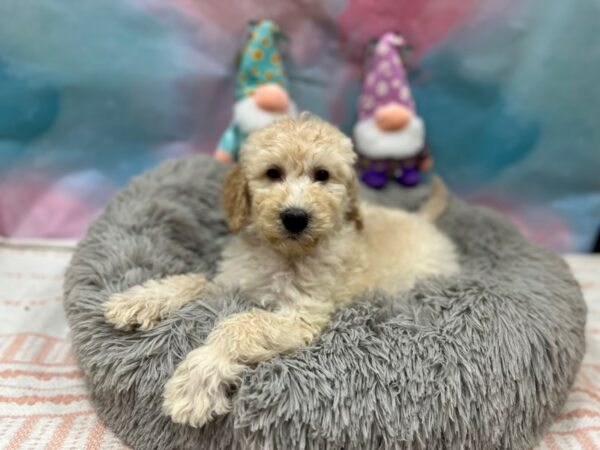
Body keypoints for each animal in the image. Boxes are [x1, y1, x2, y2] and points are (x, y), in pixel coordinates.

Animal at [104, 113, 460, 428]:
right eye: (272, 173)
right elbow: (195, 280)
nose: (295, 217)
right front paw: (141, 299)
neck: (282, 252)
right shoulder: (233, 281)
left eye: (322, 175)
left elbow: (241, 324)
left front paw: (197, 381)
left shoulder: (302, 314)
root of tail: (422, 220)